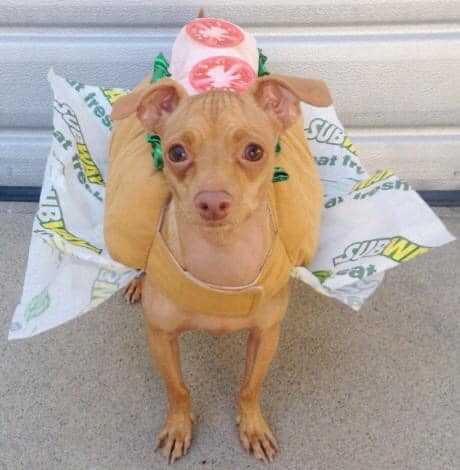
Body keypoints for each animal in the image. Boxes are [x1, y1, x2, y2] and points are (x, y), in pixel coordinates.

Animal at [104, 15, 331, 464]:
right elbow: (178, 388)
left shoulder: (266, 335)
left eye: (254, 151)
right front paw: (179, 427)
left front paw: (252, 427)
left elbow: (249, 388)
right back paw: (137, 280)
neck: (222, 262)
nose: (211, 201)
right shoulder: (161, 336)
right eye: (175, 153)